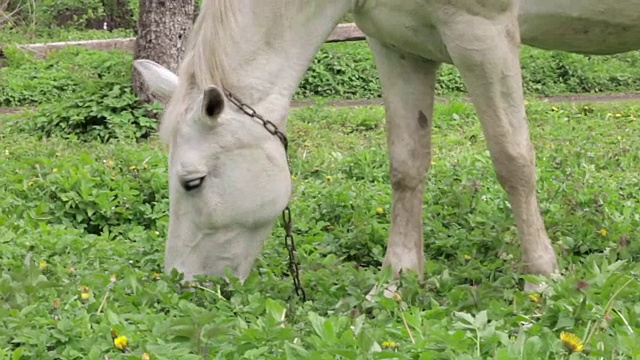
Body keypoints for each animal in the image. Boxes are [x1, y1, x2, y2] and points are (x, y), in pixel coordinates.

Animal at [131, 0, 640, 292]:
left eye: (193, 182)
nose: (184, 285)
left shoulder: (482, 34)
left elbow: (512, 160)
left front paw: (542, 280)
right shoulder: (397, 44)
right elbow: (406, 166)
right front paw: (396, 281)